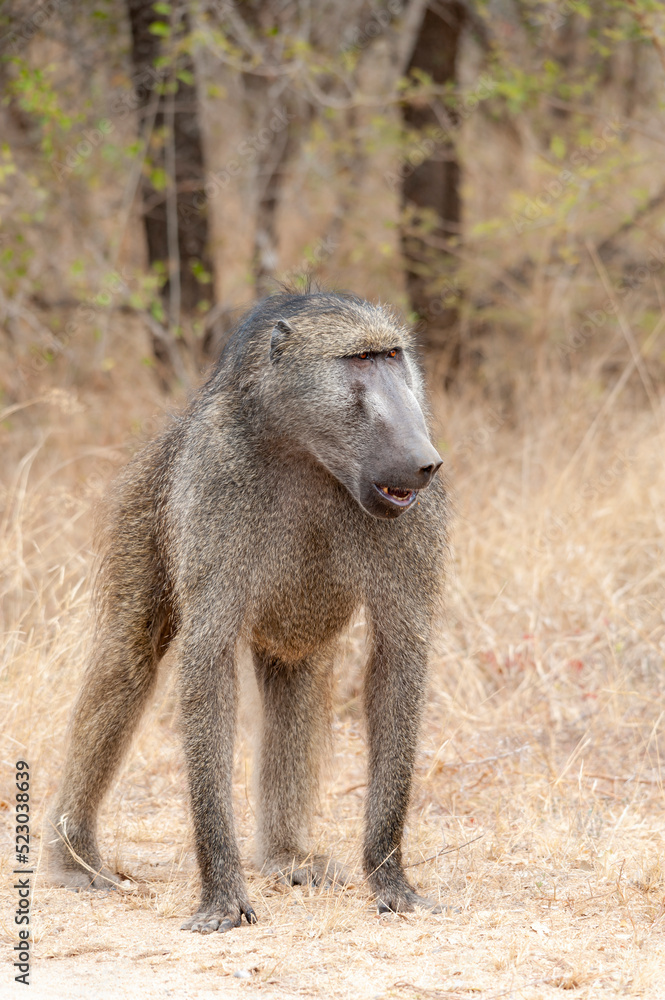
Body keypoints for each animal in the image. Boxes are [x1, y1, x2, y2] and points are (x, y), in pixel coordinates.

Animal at [49, 290, 447, 933]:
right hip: (147, 497)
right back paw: (71, 858)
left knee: (295, 672)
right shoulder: (214, 485)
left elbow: (397, 658)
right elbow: (207, 657)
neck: (306, 452)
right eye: (360, 360)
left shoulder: (415, 514)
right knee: (127, 659)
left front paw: (391, 879)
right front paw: (222, 894)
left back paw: (286, 857)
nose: (424, 460)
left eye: (392, 357)